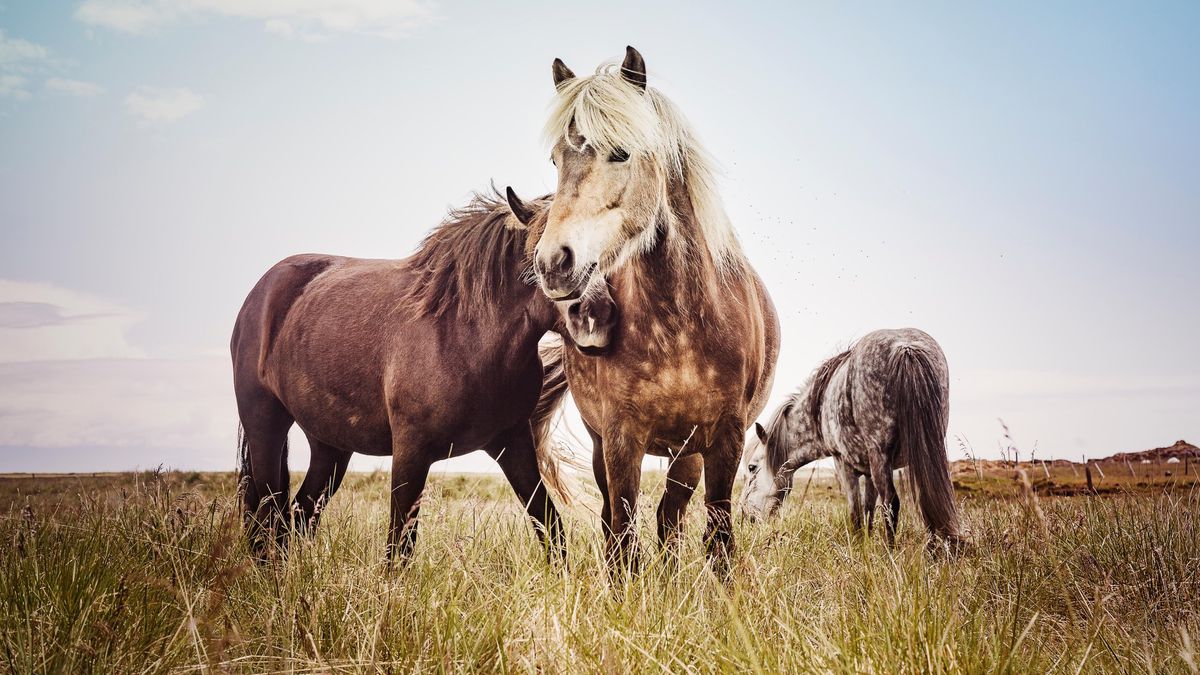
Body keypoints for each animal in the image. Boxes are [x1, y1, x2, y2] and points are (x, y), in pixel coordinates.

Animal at [229, 189, 614, 557]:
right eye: (549, 257)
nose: (600, 315)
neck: (464, 333)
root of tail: (259, 294)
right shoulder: (411, 451)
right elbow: (400, 544)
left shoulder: (512, 443)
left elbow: (550, 526)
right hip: (266, 429)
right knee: (267, 518)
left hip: (329, 446)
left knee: (297, 515)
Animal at [511, 48, 782, 571]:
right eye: (556, 158)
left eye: (621, 152)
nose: (554, 263)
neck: (679, 325)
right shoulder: (621, 439)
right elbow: (622, 534)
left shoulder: (726, 439)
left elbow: (718, 533)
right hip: (609, 446)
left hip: (687, 453)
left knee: (670, 516)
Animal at [734, 326, 960, 547]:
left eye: (752, 467)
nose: (745, 516)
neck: (818, 409)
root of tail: (905, 348)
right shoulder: (869, 472)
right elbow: (868, 510)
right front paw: (868, 544)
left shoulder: (844, 463)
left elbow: (856, 512)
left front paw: (859, 548)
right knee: (927, 498)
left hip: (881, 456)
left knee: (891, 502)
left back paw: (890, 551)